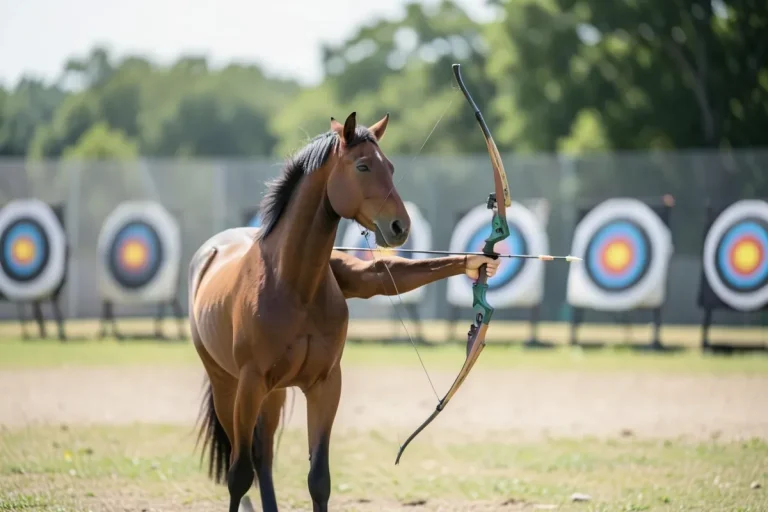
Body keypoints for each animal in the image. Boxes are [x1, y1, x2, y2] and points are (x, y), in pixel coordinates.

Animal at [189, 111, 410, 512]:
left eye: (390, 167)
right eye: (363, 165)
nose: (400, 226)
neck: (293, 284)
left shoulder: (325, 385)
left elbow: (318, 479)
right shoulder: (249, 383)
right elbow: (238, 475)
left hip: (272, 394)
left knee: (263, 454)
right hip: (226, 386)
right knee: (242, 456)